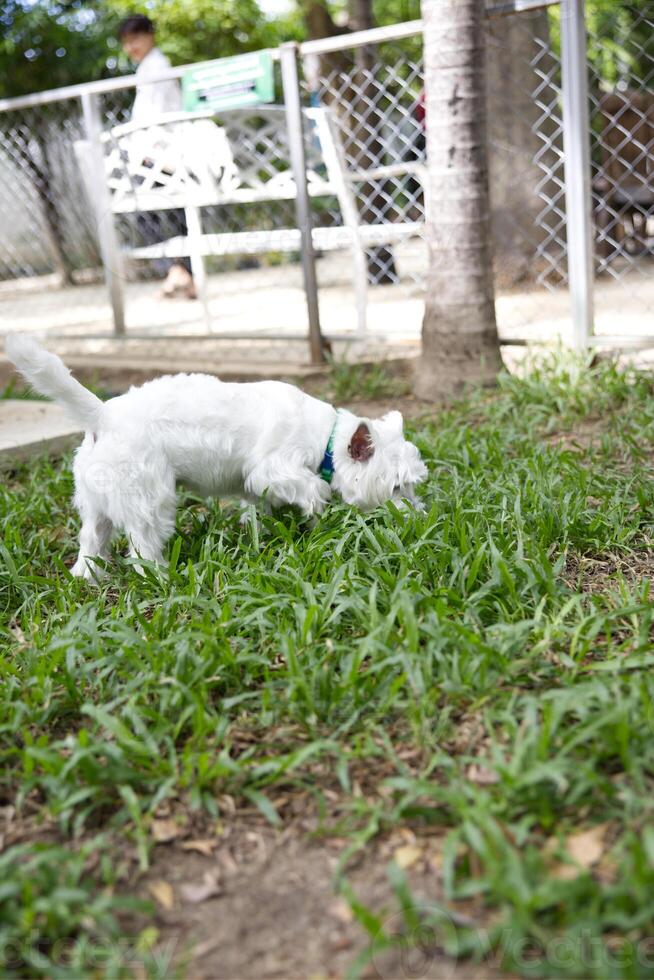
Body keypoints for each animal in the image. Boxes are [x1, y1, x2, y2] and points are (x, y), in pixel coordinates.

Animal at [6, 336, 430, 580]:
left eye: (411, 486)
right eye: (397, 487)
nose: (421, 517)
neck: (326, 434)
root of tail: (101, 416)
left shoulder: (257, 485)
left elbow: (259, 507)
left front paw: (264, 529)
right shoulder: (273, 466)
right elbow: (310, 489)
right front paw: (316, 514)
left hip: (95, 502)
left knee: (91, 540)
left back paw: (87, 576)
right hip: (149, 499)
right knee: (142, 546)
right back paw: (160, 577)